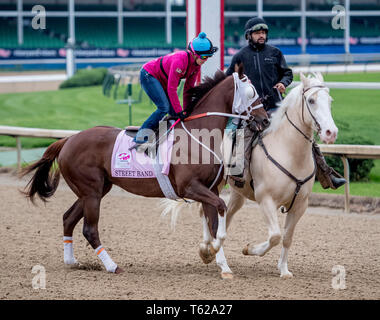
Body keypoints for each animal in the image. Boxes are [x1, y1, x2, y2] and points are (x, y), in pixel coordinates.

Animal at [22, 64, 268, 272]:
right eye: (251, 92)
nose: (265, 120)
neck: (199, 136)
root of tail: (68, 140)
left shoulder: (210, 189)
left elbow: (215, 221)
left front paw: (222, 265)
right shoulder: (189, 187)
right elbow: (221, 209)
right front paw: (211, 252)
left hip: (95, 190)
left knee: (68, 218)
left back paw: (71, 261)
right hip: (91, 191)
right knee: (89, 229)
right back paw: (112, 266)